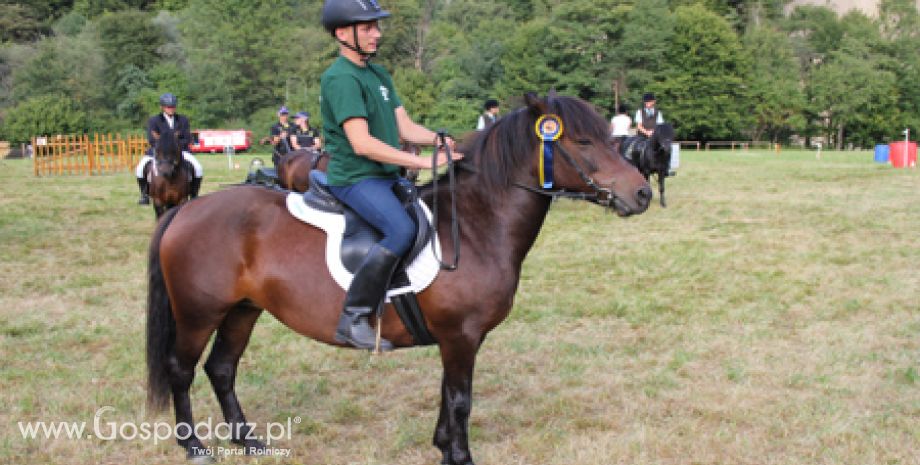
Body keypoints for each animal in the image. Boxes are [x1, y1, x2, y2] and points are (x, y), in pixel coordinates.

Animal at [146, 92, 656, 462]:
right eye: (583, 143)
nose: (643, 193)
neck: (475, 225)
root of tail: (186, 211)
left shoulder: (460, 339)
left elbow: (448, 396)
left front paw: (443, 447)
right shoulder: (461, 336)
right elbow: (460, 400)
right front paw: (459, 456)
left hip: (242, 311)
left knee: (221, 368)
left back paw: (248, 440)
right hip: (198, 313)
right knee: (181, 369)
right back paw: (194, 446)